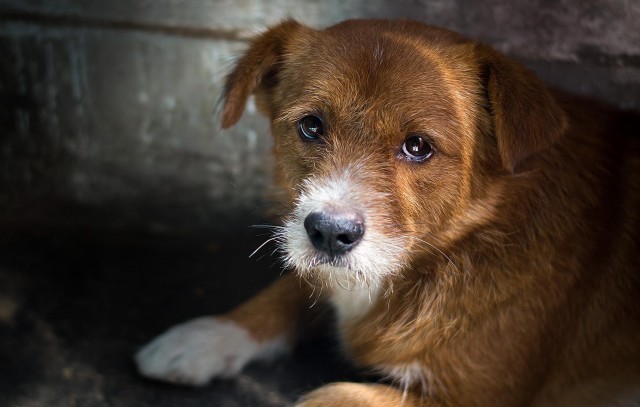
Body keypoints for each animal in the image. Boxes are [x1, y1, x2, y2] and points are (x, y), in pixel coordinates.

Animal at [135, 19, 640, 407]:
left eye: (418, 146)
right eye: (311, 126)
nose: (329, 233)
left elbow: (332, 395)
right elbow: (290, 288)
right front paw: (204, 336)